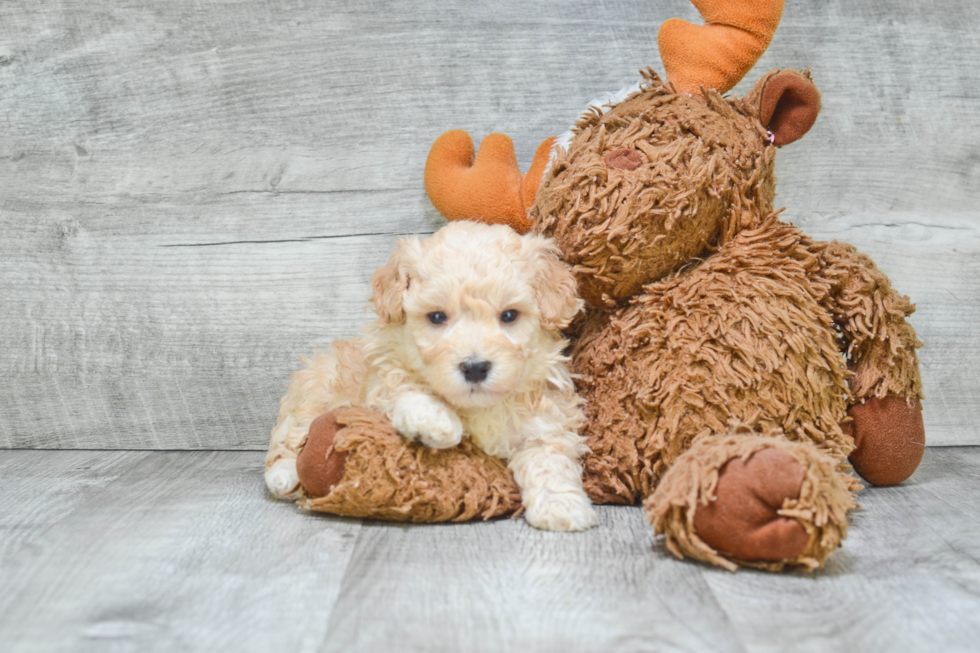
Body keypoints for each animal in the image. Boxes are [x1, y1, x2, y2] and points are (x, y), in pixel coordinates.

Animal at [262, 219, 596, 528]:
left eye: (509, 315)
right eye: (436, 317)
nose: (475, 367)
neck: (479, 408)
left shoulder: (545, 420)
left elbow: (550, 459)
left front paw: (560, 506)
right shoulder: (383, 369)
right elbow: (403, 382)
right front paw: (433, 420)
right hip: (315, 389)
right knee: (288, 439)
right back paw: (284, 475)